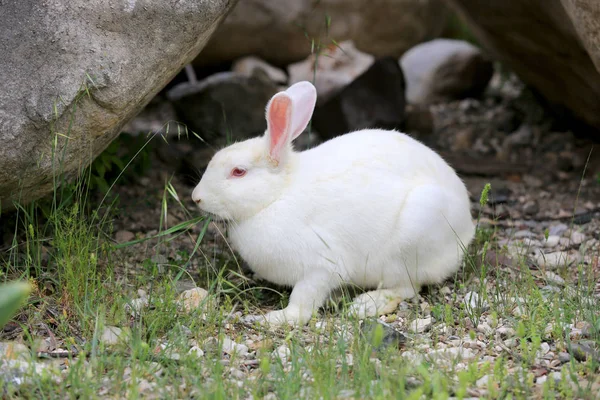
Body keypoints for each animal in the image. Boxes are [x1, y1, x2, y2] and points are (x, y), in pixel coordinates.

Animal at [191, 80, 474, 324]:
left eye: (238, 172)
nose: (196, 197)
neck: (277, 195)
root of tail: (467, 230)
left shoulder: (321, 266)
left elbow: (303, 301)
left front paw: (277, 319)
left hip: (409, 244)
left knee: (407, 287)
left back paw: (365, 304)